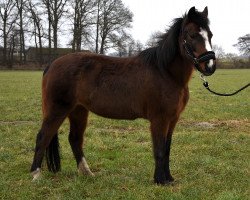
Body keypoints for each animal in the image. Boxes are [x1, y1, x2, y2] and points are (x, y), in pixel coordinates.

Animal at [31, 6, 216, 184]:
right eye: (192, 35)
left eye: (210, 35)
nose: (210, 66)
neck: (165, 72)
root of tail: (52, 65)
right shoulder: (159, 119)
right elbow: (159, 149)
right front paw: (160, 180)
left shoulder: (172, 119)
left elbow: (167, 149)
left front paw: (169, 178)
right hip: (57, 110)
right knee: (43, 137)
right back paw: (36, 175)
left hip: (78, 111)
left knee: (75, 139)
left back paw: (87, 173)